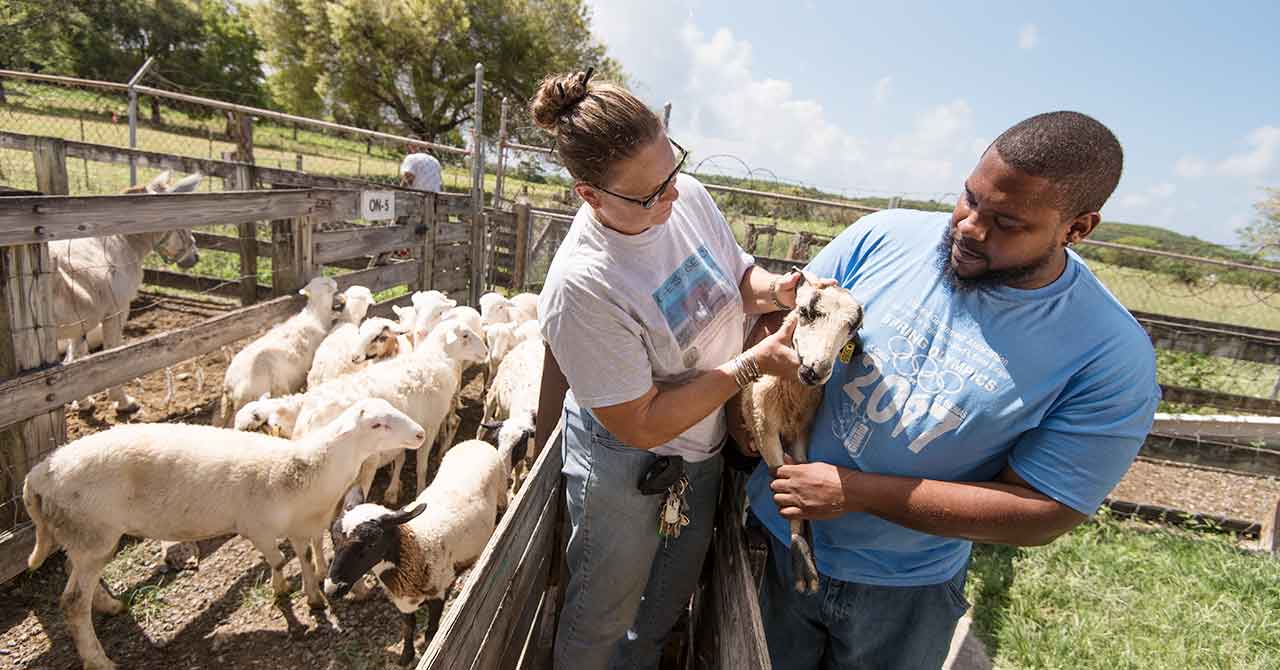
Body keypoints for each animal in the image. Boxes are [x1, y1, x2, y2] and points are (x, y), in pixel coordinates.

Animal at [23, 399, 424, 670]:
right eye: (377, 425)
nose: (420, 433)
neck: (307, 466)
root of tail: (38, 476)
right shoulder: (257, 526)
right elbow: (281, 560)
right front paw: (290, 596)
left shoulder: (301, 524)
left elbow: (304, 558)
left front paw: (309, 596)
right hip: (91, 531)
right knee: (72, 602)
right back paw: (98, 659)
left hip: (86, 537)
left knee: (77, 577)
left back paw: (109, 606)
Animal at [217, 275, 343, 427]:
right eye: (327, 284)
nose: (336, 284)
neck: (316, 316)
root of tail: (230, 384)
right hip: (261, 393)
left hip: (228, 405)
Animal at [322, 440, 506, 666]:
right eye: (333, 539)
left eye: (372, 543)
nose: (331, 589)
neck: (415, 543)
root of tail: (475, 442)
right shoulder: (403, 600)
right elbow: (408, 628)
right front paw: (406, 656)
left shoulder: (437, 594)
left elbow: (432, 628)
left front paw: (430, 644)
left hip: (502, 493)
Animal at [737, 280, 865, 594]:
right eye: (805, 311)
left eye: (852, 329)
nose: (815, 371)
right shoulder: (762, 424)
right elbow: (780, 478)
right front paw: (802, 563)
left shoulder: (802, 432)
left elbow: (797, 475)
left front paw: (808, 550)